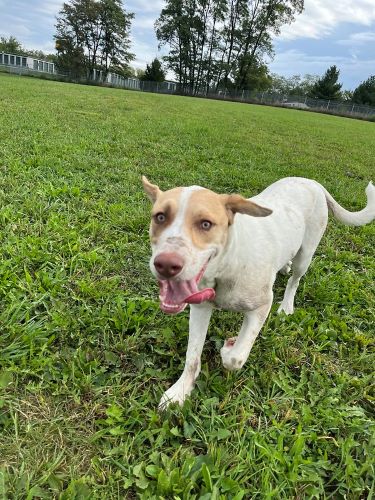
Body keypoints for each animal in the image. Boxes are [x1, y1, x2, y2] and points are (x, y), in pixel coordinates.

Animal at [142, 177, 374, 410]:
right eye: (160, 217)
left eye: (206, 224)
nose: (166, 265)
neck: (225, 266)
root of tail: (312, 182)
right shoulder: (200, 307)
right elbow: (193, 356)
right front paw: (180, 391)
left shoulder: (261, 307)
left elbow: (235, 358)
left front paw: (229, 347)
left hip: (306, 254)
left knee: (295, 280)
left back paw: (287, 305)